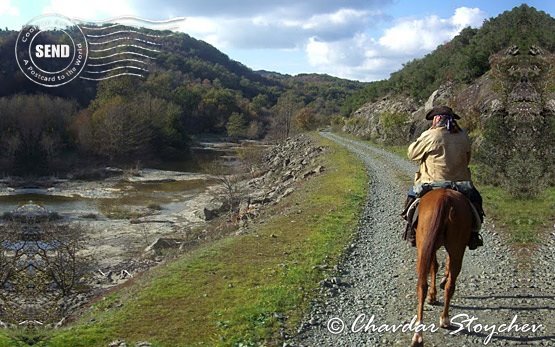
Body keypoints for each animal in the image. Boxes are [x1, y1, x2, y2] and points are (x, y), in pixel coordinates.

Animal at [410, 190, 472, 347]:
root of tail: (445, 198)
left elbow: (434, 267)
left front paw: (433, 295)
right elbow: (441, 266)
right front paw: (441, 282)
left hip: (424, 246)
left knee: (422, 285)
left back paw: (419, 335)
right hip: (456, 248)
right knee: (451, 284)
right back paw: (444, 319)